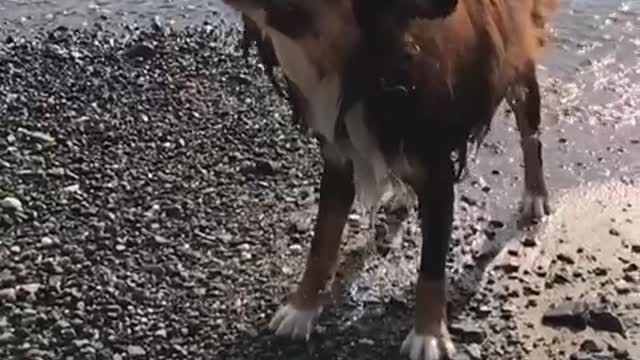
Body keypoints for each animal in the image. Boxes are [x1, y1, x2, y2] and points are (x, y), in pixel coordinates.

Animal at [222, 1, 556, 358]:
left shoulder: (437, 174)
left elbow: (431, 268)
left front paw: (428, 335)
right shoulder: (339, 160)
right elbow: (322, 243)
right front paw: (302, 308)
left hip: (517, 63)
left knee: (530, 132)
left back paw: (535, 195)